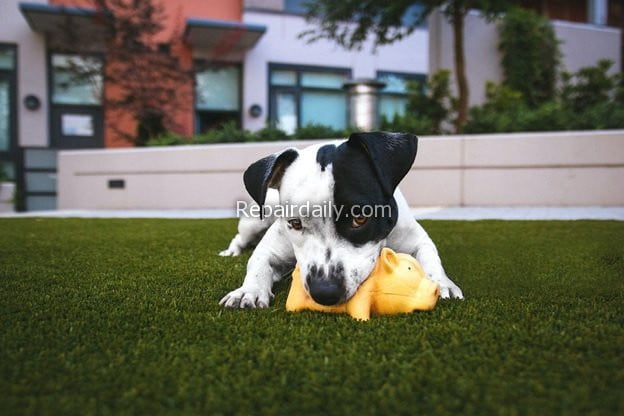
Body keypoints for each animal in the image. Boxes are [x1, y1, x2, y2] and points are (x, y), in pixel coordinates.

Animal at [219, 132, 464, 308]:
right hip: (255, 219)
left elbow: (431, 258)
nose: (324, 291)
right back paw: (231, 252)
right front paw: (247, 291)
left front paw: (442, 283)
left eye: (360, 218)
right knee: (240, 237)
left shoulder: (416, 239)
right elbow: (258, 263)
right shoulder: (271, 248)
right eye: (295, 223)